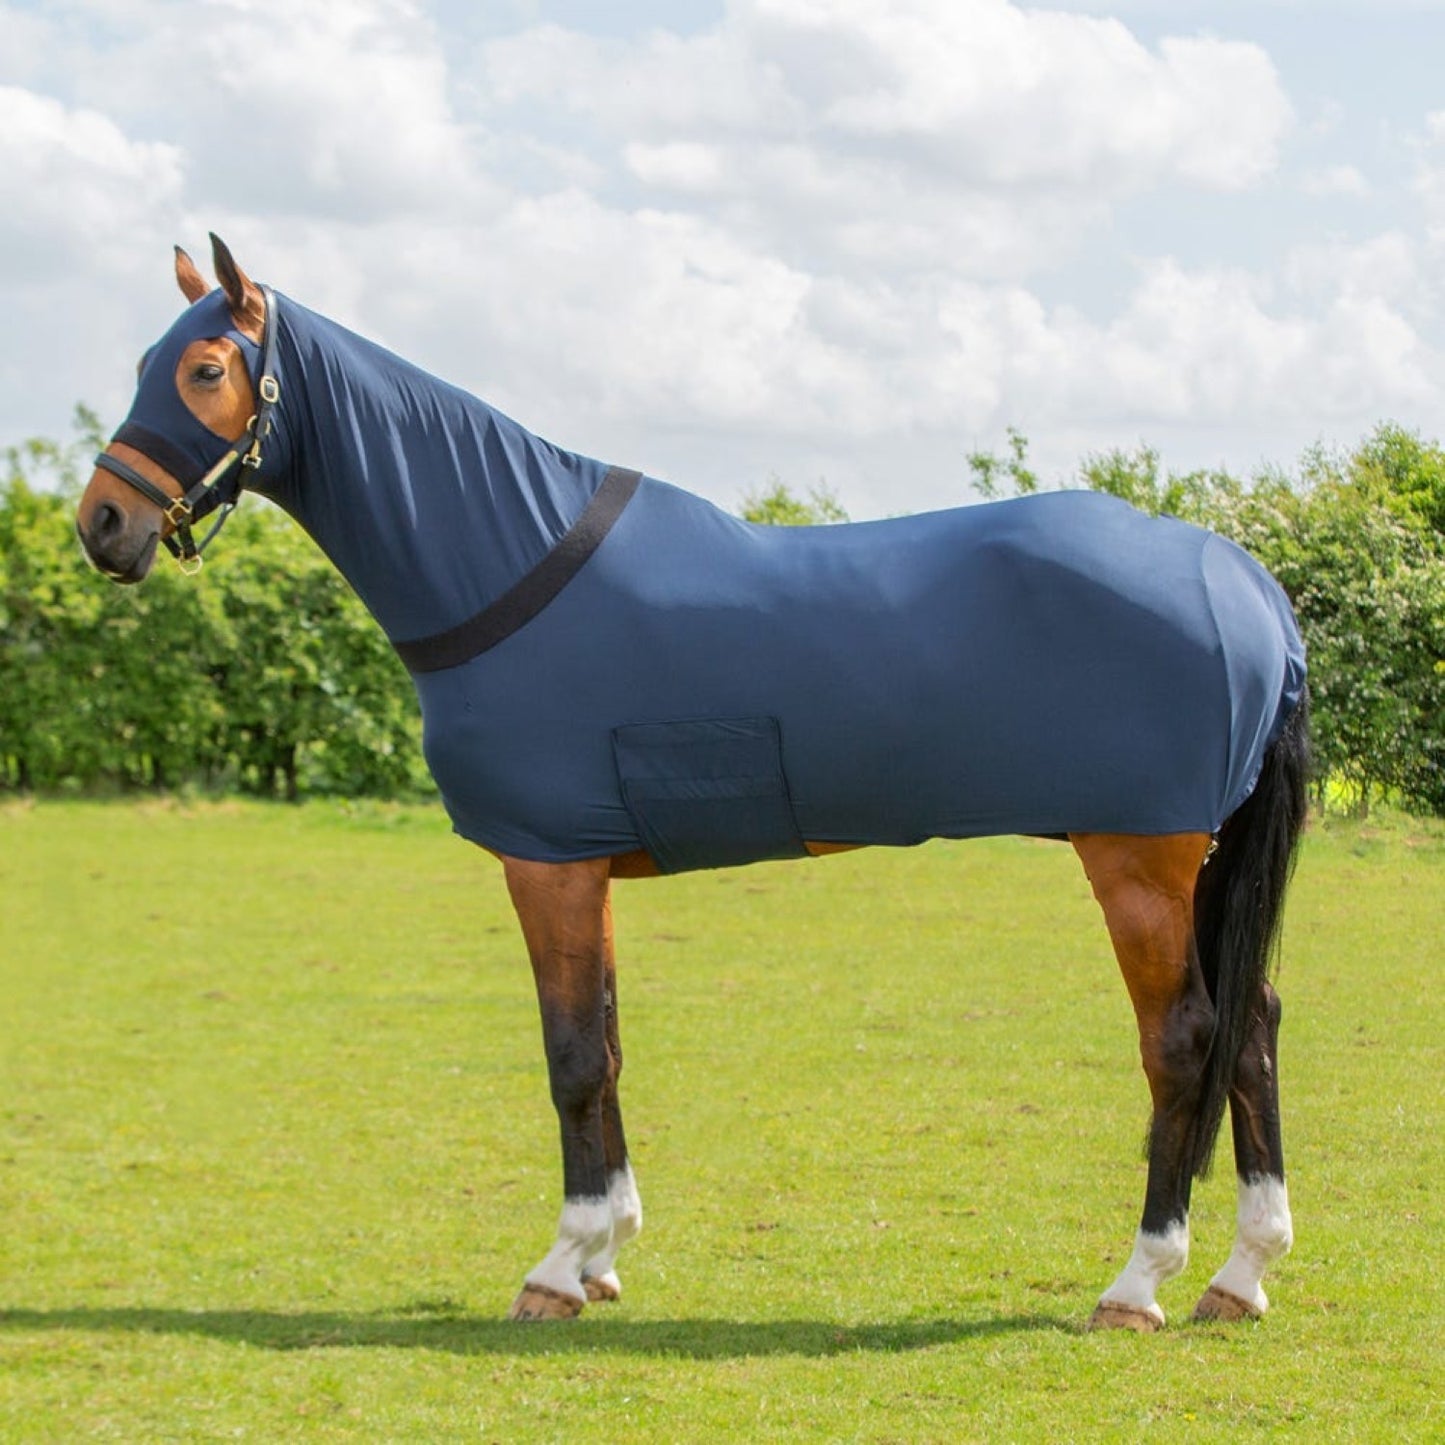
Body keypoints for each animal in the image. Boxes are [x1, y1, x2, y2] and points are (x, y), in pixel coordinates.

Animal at [76, 236, 1310, 1331]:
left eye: (204, 369)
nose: (103, 522)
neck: (510, 566)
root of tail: (1239, 577)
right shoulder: (584, 868)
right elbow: (610, 1042)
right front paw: (605, 1252)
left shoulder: (546, 866)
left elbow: (572, 1056)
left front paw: (559, 1266)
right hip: (1198, 859)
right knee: (1252, 1021)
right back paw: (1239, 1275)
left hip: (1137, 858)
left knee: (1184, 1040)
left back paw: (1137, 1282)